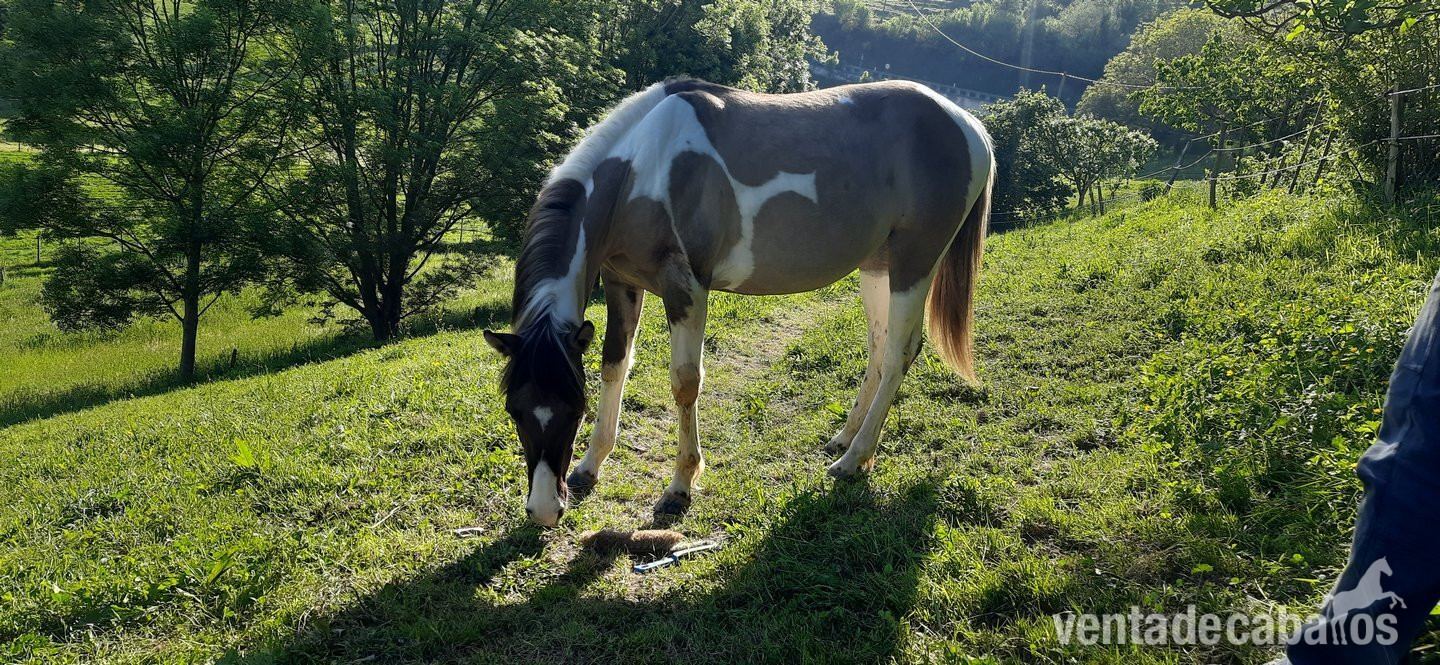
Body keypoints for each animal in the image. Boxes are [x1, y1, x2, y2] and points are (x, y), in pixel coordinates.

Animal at [484, 78, 994, 526]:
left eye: (573, 409)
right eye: (515, 410)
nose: (544, 510)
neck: (644, 166)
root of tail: (968, 123)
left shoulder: (686, 287)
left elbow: (685, 382)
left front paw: (680, 487)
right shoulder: (621, 283)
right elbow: (615, 366)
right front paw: (590, 466)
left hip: (914, 264)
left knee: (898, 355)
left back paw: (854, 461)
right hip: (877, 267)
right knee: (878, 347)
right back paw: (844, 440)